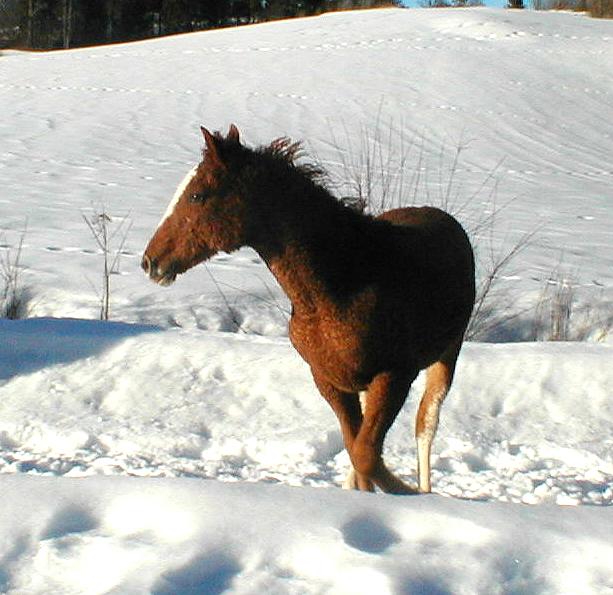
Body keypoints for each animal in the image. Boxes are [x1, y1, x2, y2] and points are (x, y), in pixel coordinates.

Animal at [142, 124, 474, 494]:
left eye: (197, 196)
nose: (150, 261)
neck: (338, 287)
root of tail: (443, 218)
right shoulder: (330, 381)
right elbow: (357, 450)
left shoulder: (394, 375)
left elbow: (366, 455)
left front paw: (409, 494)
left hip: (447, 354)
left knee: (426, 423)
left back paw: (426, 489)